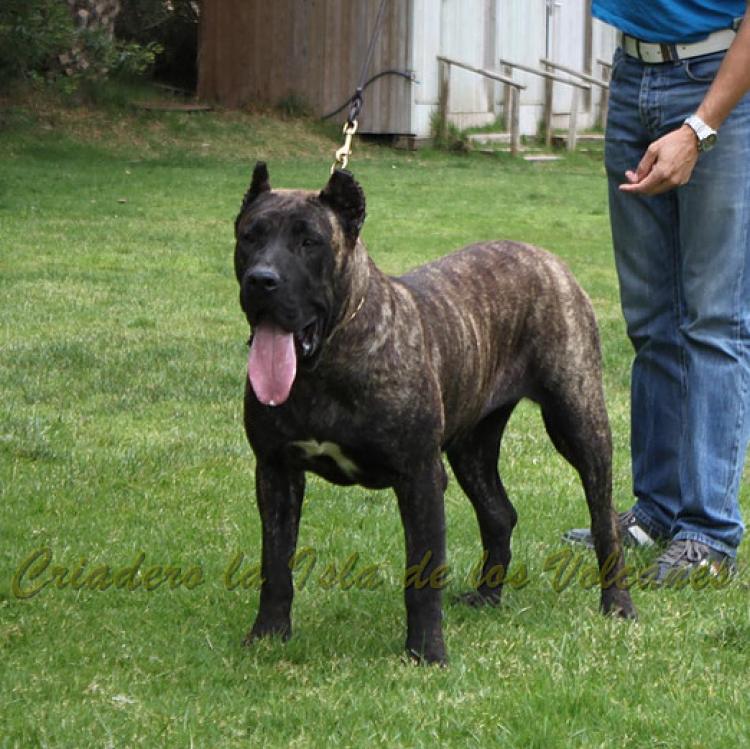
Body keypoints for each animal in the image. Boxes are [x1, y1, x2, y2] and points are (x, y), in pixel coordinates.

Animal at [234, 162, 636, 660]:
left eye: (310, 242)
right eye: (249, 235)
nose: (261, 279)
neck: (326, 362)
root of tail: (546, 258)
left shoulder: (420, 476)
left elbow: (422, 574)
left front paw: (427, 652)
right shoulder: (275, 471)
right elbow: (275, 561)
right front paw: (268, 634)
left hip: (578, 421)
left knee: (603, 517)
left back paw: (617, 604)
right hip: (471, 447)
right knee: (499, 513)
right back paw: (487, 596)